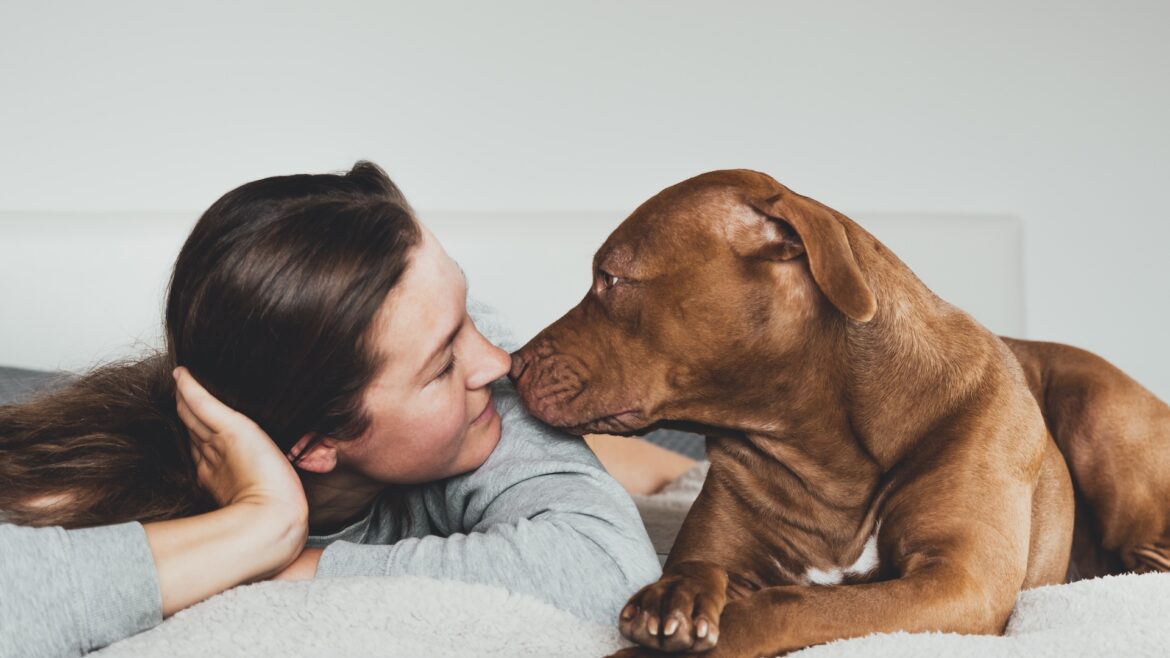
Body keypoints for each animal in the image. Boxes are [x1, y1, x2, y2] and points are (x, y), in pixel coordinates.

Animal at [510, 169, 1170, 655]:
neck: (825, 451)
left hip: (1096, 409)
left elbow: (792, 603)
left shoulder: (955, 582)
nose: (511, 365)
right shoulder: (720, 549)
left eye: (611, 278)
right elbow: (704, 569)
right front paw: (675, 598)